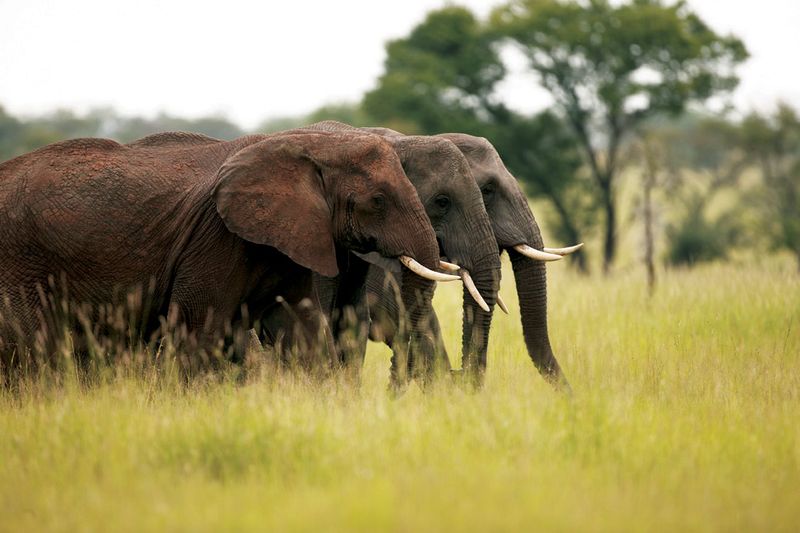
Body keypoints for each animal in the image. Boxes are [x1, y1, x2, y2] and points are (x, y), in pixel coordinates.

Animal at [0, 129, 450, 378]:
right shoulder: (216, 237)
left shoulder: (291, 237)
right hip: (19, 261)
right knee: (28, 347)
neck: (310, 146)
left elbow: (301, 328)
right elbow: (202, 331)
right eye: (378, 200)